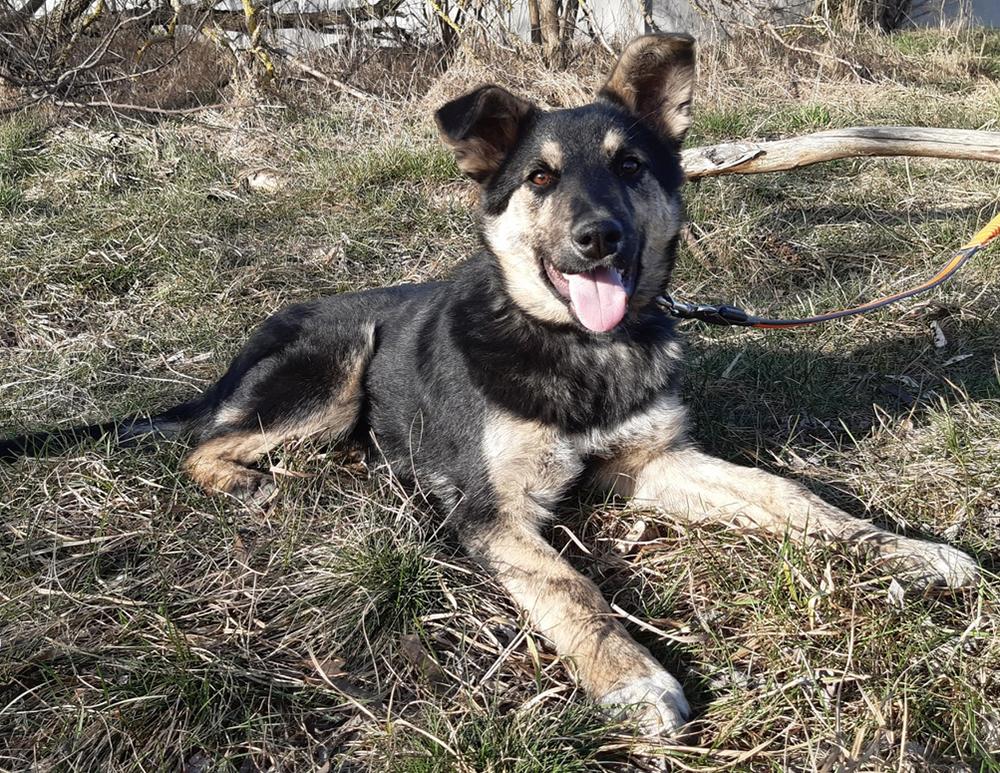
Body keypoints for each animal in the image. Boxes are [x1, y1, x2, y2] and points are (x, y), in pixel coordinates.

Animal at [0, 34, 980, 737]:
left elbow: (792, 496)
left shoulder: (657, 463)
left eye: (631, 168)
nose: (598, 240)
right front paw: (632, 678)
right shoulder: (491, 511)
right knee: (208, 437)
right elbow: (569, 587)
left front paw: (903, 550)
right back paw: (243, 478)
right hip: (338, 365)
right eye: (540, 177)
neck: (575, 348)